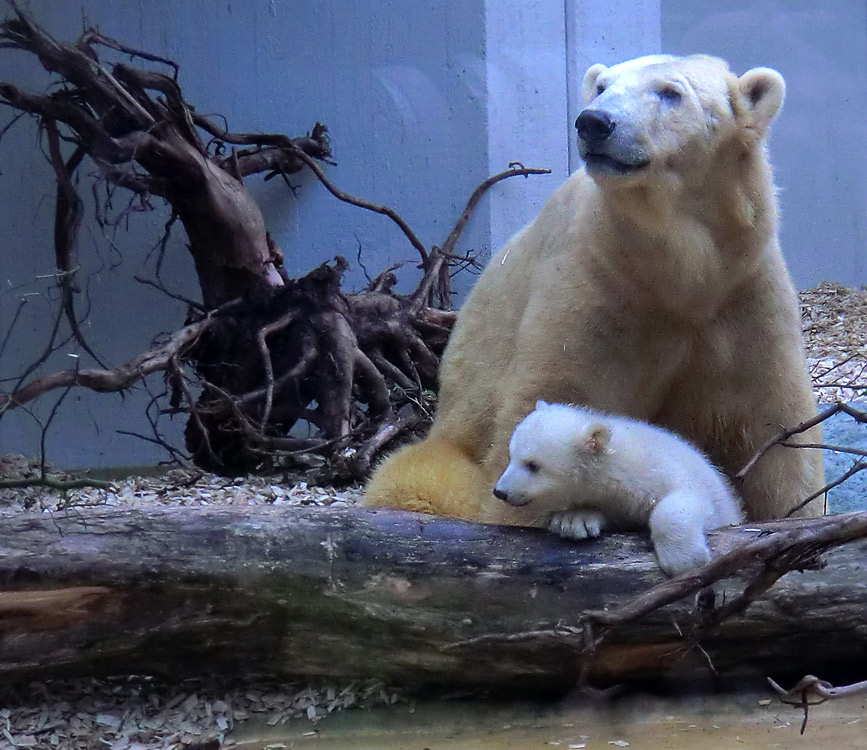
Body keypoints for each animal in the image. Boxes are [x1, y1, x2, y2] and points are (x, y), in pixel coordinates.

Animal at [362, 53, 824, 524]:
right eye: (602, 87)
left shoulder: (743, 296)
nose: (593, 122)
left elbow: (776, 433)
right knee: (418, 480)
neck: (678, 274)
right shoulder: (595, 282)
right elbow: (555, 400)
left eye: (670, 92)